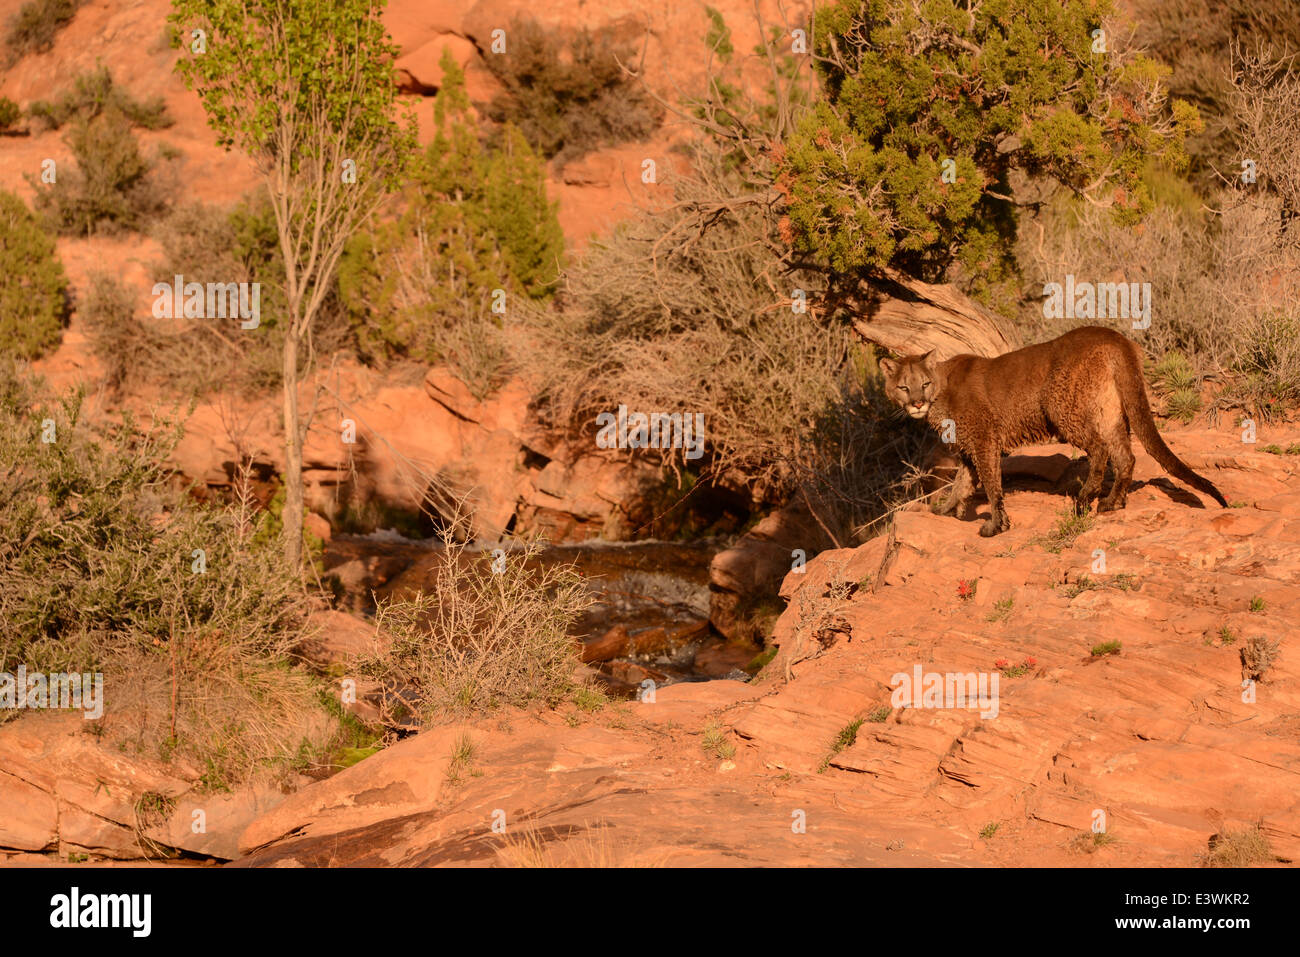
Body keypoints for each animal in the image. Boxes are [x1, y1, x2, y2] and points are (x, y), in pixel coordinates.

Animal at [878, 327, 1222, 538]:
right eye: (903, 387)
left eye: (924, 383)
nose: (917, 402)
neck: (942, 388)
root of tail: (1113, 335)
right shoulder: (968, 447)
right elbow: (962, 484)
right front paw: (946, 510)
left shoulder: (984, 439)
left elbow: (991, 484)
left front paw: (995, 526)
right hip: (1109, 412)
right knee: (1126, 457)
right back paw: (1112, 503)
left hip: (1061, 408)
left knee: (1099, 449)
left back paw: (1085, 498)